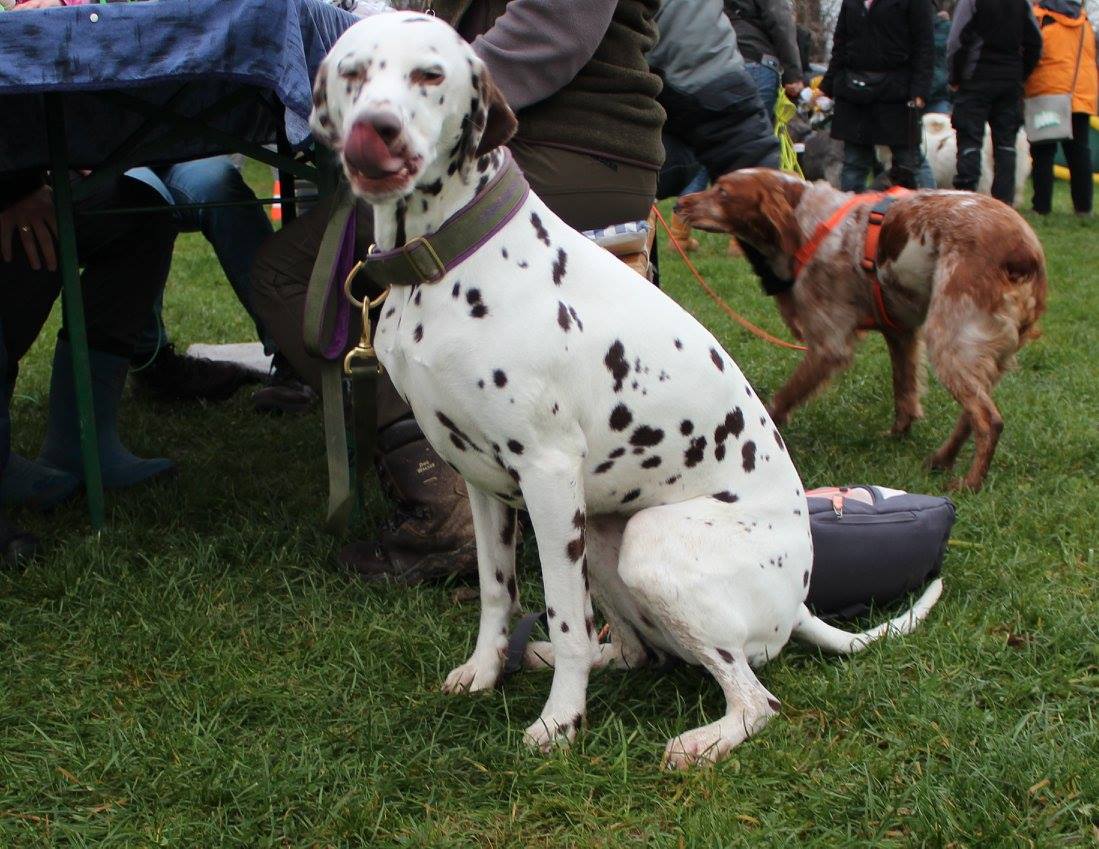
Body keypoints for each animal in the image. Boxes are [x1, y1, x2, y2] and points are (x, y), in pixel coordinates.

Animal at [312, 11, 945, 768]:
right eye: (353, 72)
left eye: (429, 74)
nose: (373, 131)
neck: (448, 261)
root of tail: (798, 601)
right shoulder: (483, 484)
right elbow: (497, 593)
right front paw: (488, 670)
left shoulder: (547, 476)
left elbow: (562, 610)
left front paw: (561, 721)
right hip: (605, 538)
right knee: (635, 650)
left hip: (646, 542)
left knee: (754, 699)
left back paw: (702, 739)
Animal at [676, 166, 1046, 489]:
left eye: (722, 191)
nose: (679, 203)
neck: (806, 221)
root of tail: (1024, 252)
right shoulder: (900, 333)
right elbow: (904, 391)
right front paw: (898, 434)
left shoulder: (829, 345)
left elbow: (780, 400)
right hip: (983, 354)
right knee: (971, 415)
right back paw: (941, 460)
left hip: (951, 340)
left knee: (988, 419)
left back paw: (969, 484)